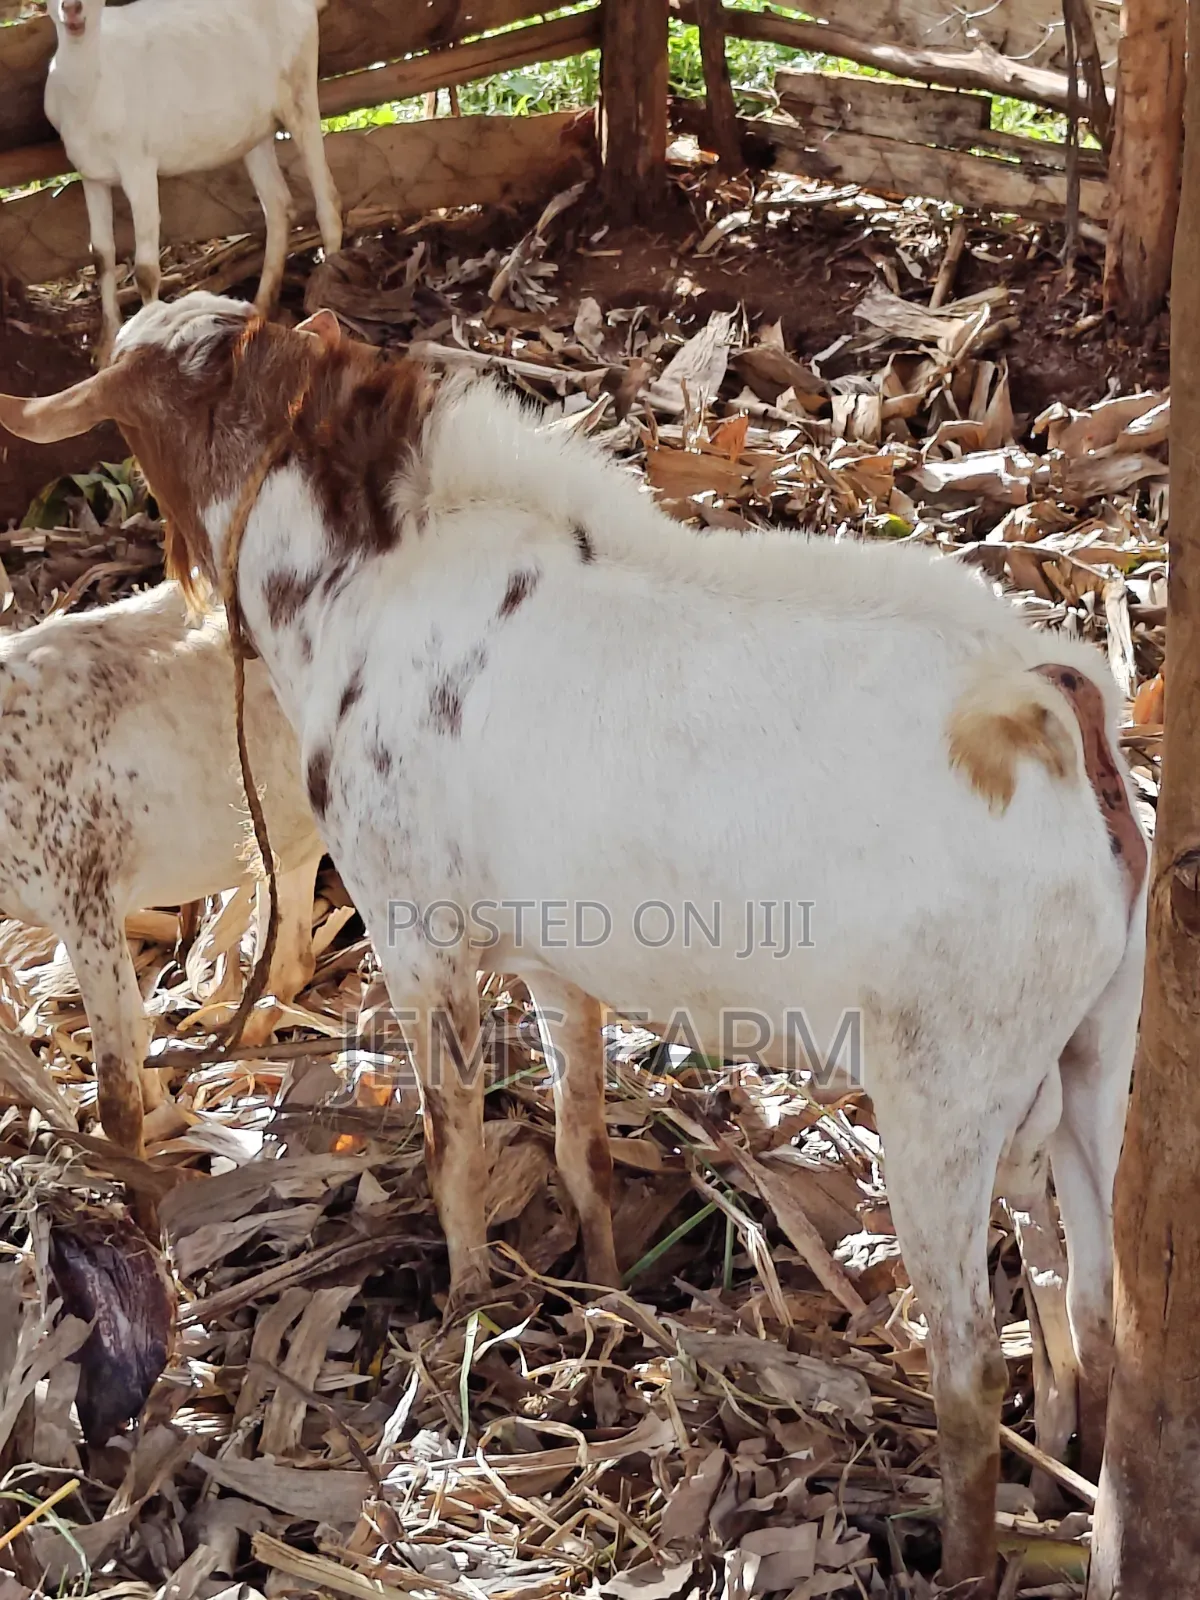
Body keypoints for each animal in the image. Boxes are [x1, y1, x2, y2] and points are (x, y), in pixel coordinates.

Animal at [44, 0, 342, 364]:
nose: (72, 9)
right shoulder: (91, 175)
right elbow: (101, 256)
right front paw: (103, 350)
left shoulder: (139, 163)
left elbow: (145, 270)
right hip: (255, 132)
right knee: (278, 206)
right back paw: (260, 307)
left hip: (300, 95)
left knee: (327, 200)